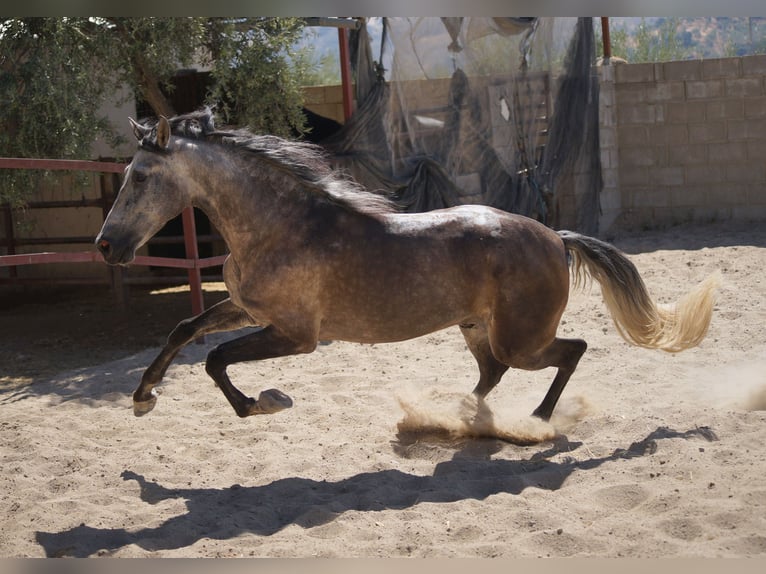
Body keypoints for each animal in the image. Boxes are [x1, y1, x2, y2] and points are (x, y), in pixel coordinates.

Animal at [94, 109, 720, 424]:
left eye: (141, 176)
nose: (105, 246)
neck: (283, 226)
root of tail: (555, 236)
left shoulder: (296, 336)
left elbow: (216, 359)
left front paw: (260, 404)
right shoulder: (248, 309)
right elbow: (185, 331)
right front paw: (143, 397)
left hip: (520, 336)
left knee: (569, 352)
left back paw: (536, 420)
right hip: (477, 327)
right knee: (493, 373)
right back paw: (460, 415)